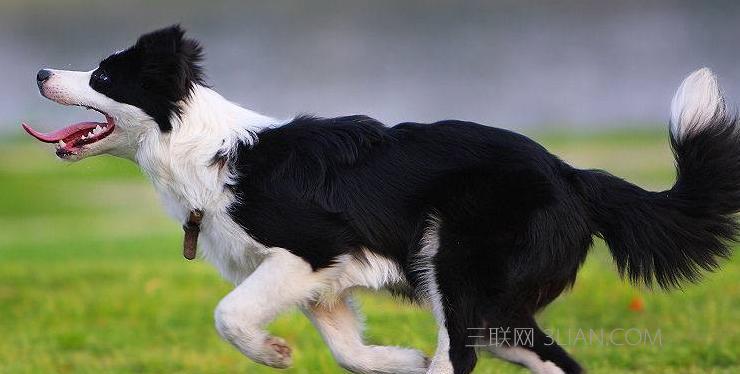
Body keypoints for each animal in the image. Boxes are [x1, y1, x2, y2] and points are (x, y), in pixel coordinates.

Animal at [23, 26, 740, 374]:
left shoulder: (310, 248)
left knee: (461, 357)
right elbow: (348, 351)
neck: (202, 150)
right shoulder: (324, 285)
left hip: (457, 272)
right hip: (497, 308)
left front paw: (273, 354)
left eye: (103, 76)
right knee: (554, 359)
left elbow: (229, 315)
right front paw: (396, 360)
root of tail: (574, 175)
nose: (38, 71)